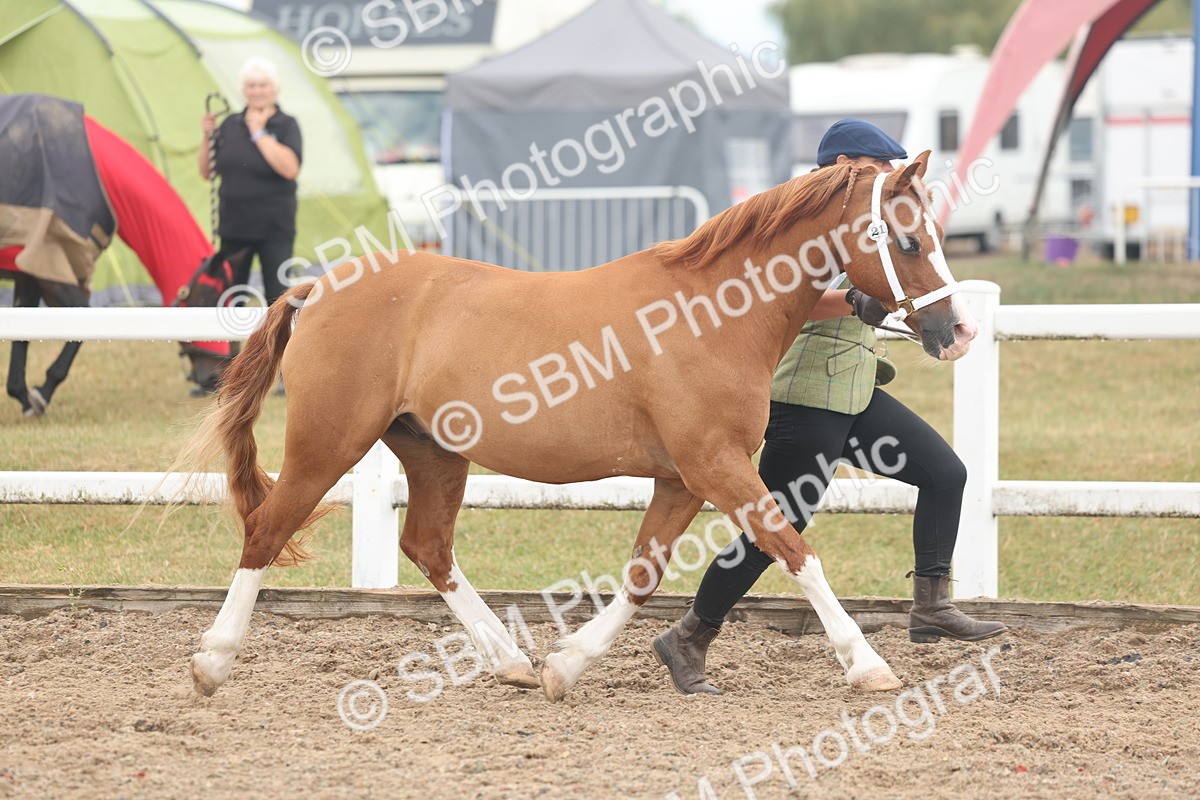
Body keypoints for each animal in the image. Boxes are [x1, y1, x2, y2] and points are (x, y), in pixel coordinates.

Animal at [185, 150, 977, 701]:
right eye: (908, 240)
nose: (957, 331)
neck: (714, 312)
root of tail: (317, 287)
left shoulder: (682, 478)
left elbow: (643, 575)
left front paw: (565, 667)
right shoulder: (717, 465)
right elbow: (793, 551)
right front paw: (869, 666)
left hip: (434, 451)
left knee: (428, 546)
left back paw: (510, 662)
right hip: (327, 444)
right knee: (266, 530)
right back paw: (212, 661)